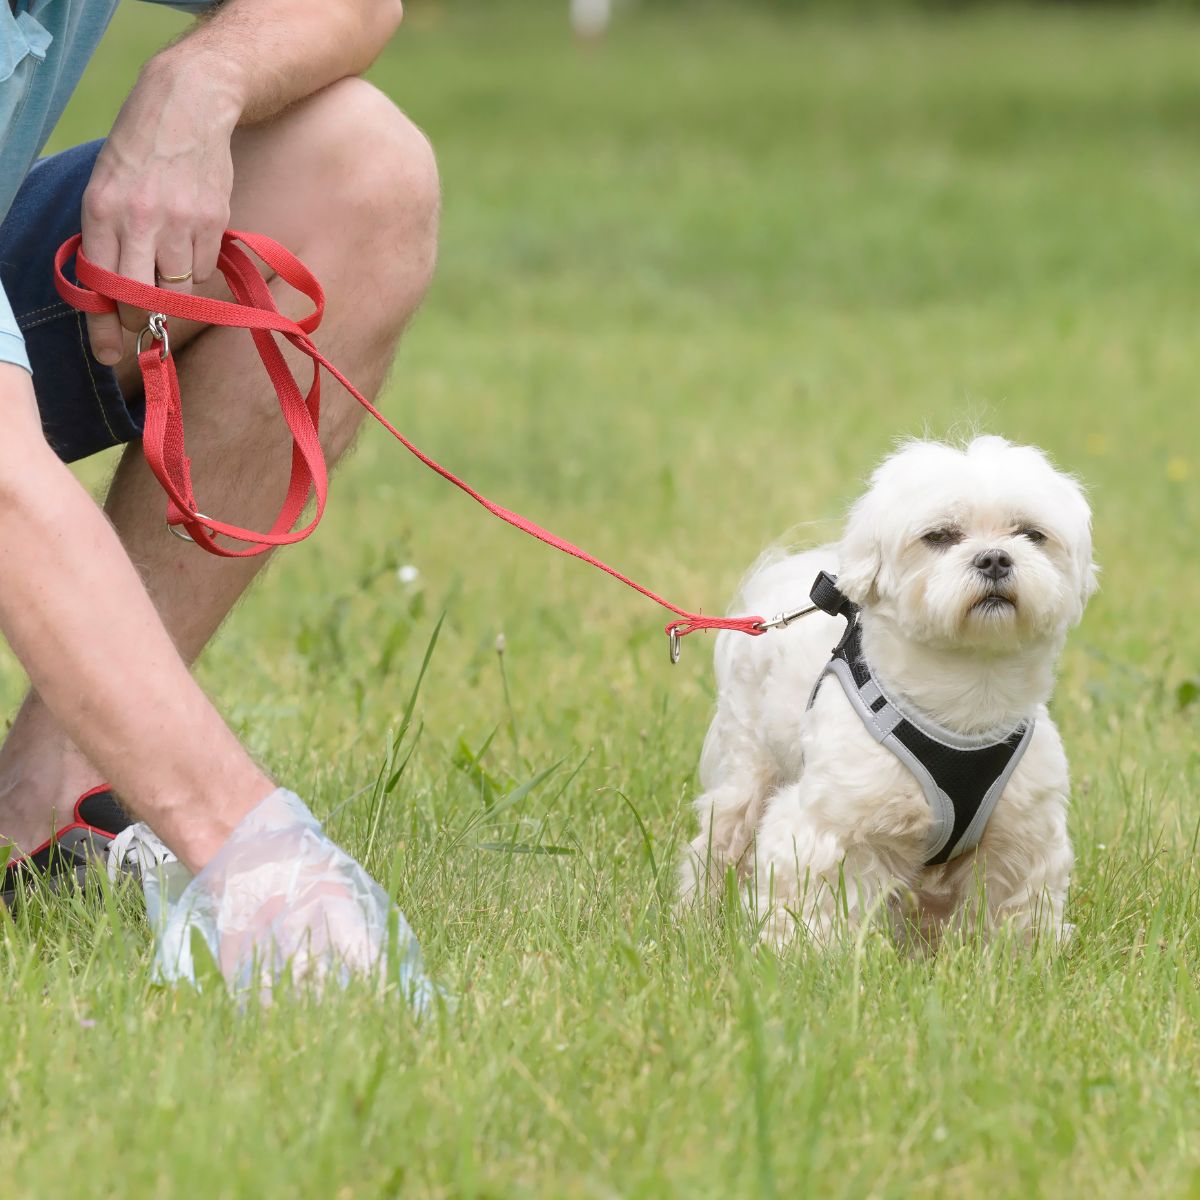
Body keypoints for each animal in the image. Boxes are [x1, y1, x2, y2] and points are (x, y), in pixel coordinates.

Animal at [676, 436, 1099, 950]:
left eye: (1031, 534)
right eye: (939, 536)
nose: (996, 558)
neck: (968, 694)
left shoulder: (1021, 834)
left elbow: (1014, 910)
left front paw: (1018, 957)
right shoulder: (833, 823)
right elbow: (814, 894)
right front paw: (804, 954)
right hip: (751, 769)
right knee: (718, 841)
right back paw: (696, 917)